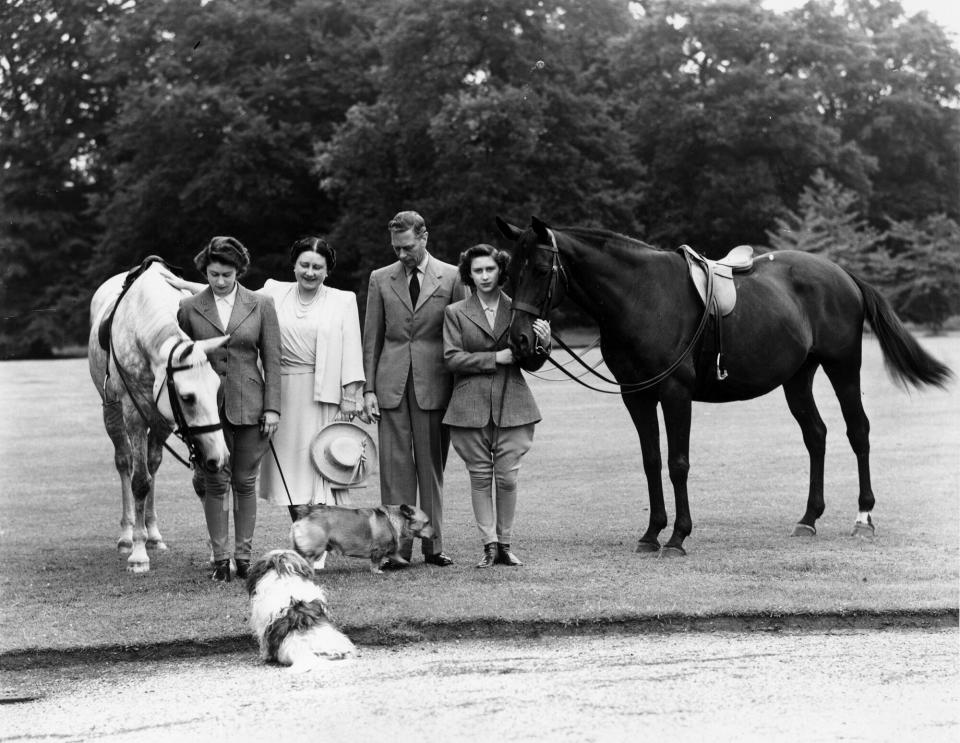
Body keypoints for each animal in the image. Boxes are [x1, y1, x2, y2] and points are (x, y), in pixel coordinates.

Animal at [290, 506, 436, 576]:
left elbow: (395, 556)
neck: (394, 520)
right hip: (317, 548)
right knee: (306, 561)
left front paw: (403, 562)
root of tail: (305, 515)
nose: (436, 536)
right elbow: (375, 563)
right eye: (427, 522)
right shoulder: (379, 550)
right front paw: (377, 571)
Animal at [498, 218, 948, 556]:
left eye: (541, 270)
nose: (519, 340)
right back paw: (808, 519)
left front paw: (677, 537)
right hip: (798, 377)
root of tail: (842, 274)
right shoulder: (636, 395)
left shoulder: (675, 393)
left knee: (858, 431)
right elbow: (650, 461)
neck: (642, 296)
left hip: (843, 366)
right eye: (508, 273)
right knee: (816, 435)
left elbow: (677, 463)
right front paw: (651, 533)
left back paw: (864, 518)